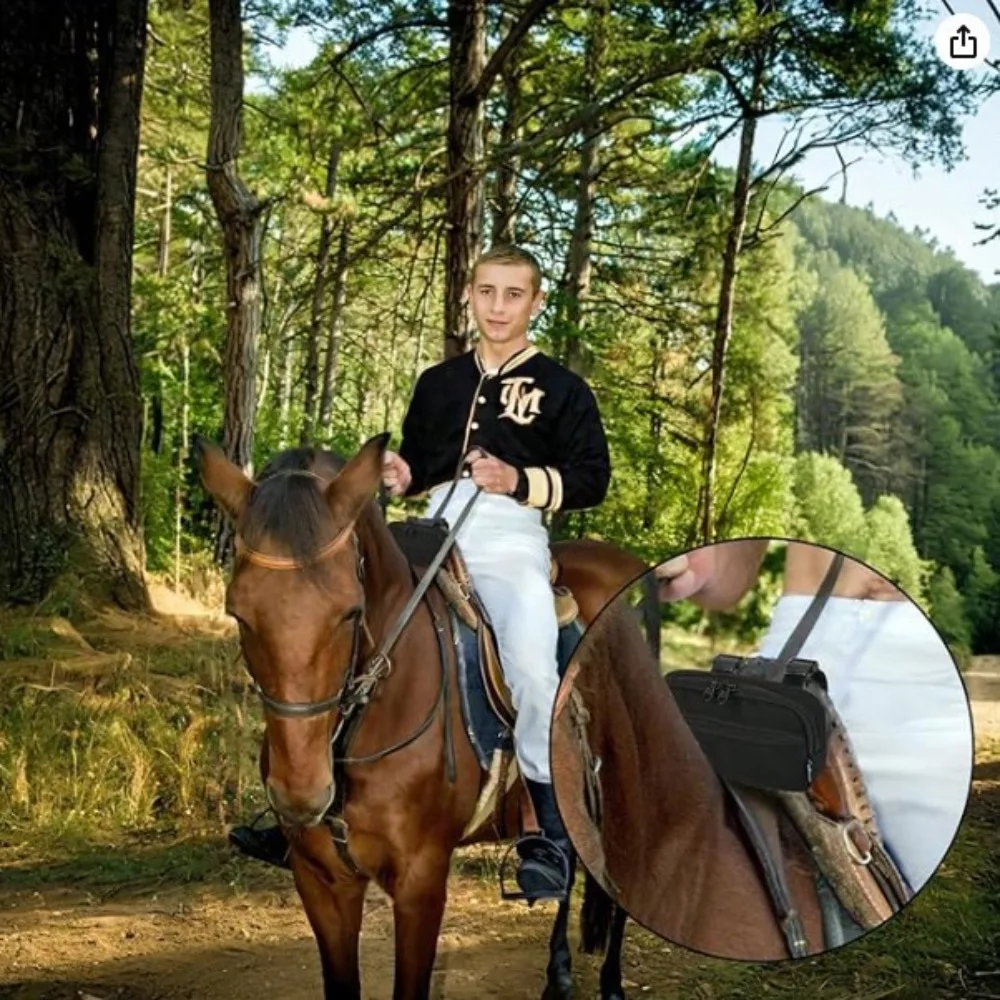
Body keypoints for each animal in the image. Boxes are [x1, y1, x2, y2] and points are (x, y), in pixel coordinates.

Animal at [196, 431, 658, 1000]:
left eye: (350, 611)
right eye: (238, 613)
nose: (301, 795)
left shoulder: (421, 884)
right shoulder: (322, 882)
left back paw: (609, 982)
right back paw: (559, 974)